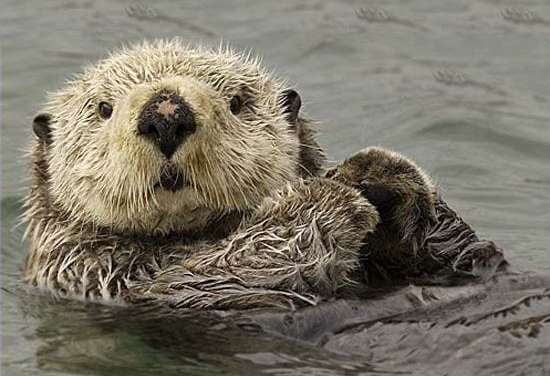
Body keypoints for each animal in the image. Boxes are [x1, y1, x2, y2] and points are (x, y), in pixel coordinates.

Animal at [25, 39, 508, 308]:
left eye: (237, 101)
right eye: (103, 109)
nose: (165, 115)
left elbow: (473, 256)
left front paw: (384, 177)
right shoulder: (104, 275)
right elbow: (222, 269)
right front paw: (331, 199)